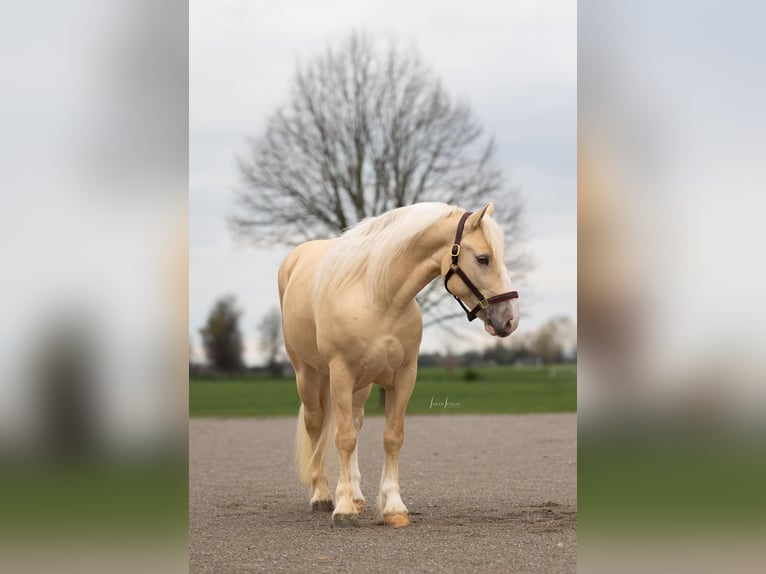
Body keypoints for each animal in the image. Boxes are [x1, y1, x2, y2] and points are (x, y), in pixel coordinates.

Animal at [277, 201, 519, 528]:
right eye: (483, 258)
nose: (509, 319)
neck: (378, 297)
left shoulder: (404, 377)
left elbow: (391, 438)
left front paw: (392, 507)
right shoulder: (341, 374)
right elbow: (344, 439)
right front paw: (343, 510)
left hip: (361, 385)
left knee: (355, 421)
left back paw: (356, 496)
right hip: (308, 374)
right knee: (316, 425)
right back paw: (323, 496)